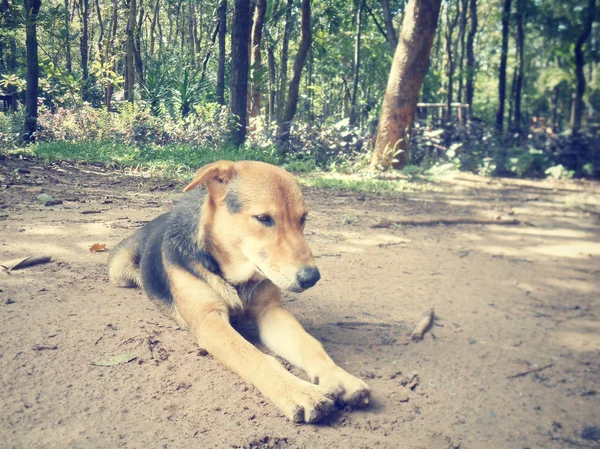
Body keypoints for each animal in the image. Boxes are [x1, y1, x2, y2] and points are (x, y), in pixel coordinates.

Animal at [108, 162, 370, 424]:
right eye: (263, 218)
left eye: (303, 218)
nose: (311, 277)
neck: (235, 278)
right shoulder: (210, 321)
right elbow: (256, 357)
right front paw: (298, 391)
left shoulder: (271, 312)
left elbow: (309, 344)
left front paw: (339, 377)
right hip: (118, 272)